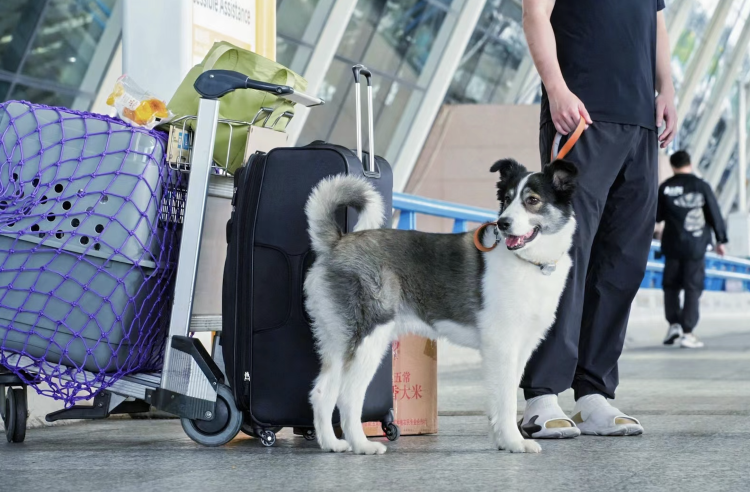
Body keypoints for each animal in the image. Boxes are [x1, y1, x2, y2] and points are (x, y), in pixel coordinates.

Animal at [302, 160, 580, 456]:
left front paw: (502, 441)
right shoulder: (502, 346)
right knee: (347, 395)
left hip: (338, 341)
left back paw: (331, 443)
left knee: (322, 392)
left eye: (532, 200)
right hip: (369, 339)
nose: (503, 223)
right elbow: (506, 401)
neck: (526, 262)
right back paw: (362, 445)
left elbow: (499, 399)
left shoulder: (519, 349)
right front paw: (515, 442)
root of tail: (336, 244)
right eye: (507, 200)